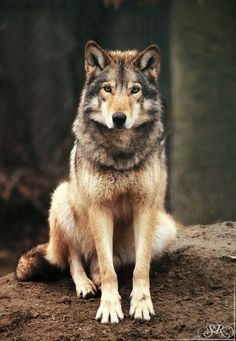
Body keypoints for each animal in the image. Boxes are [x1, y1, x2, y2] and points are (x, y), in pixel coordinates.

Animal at [16, 41, 175, 322]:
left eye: (135, 90)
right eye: (107, 88)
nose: (119, 118)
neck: (121, 153)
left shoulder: (145, 207)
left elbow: (140, 268)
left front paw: (141, 304)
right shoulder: (99, 208)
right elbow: (107, 270)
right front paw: (110, 307)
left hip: (165, 227)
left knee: (98, 261)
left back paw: (97, 277)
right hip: (62, 197)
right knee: (75, 259)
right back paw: (86, 284)